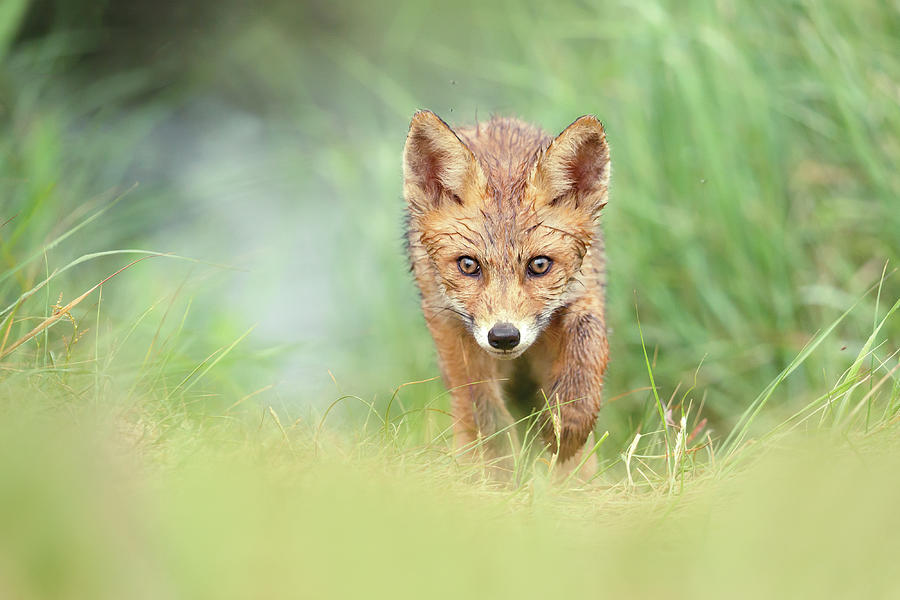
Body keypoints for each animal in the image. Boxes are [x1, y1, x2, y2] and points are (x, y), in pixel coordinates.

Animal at [406, 110, 612, 472]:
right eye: (468, 265)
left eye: (540, 265)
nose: (503, 336)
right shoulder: (447, 323)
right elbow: (482, 409)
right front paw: (499, 467)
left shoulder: (585, 291)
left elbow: (588, 346)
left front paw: (568, 423)